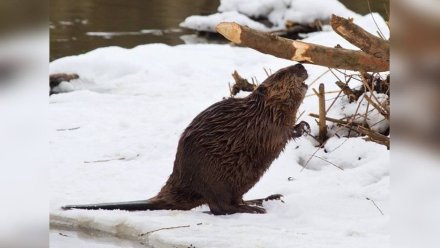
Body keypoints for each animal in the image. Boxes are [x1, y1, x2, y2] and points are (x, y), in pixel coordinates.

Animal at [62, 63, 310, 214]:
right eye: (280, 74)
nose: (300, 65)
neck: (260, 109)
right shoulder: (261, 124)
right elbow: (276, 134)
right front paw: (300, 128)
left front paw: (304, 125)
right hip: (213, 178)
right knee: (220, 206)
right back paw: (253, 208)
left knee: (233, 199)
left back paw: (264, 198)